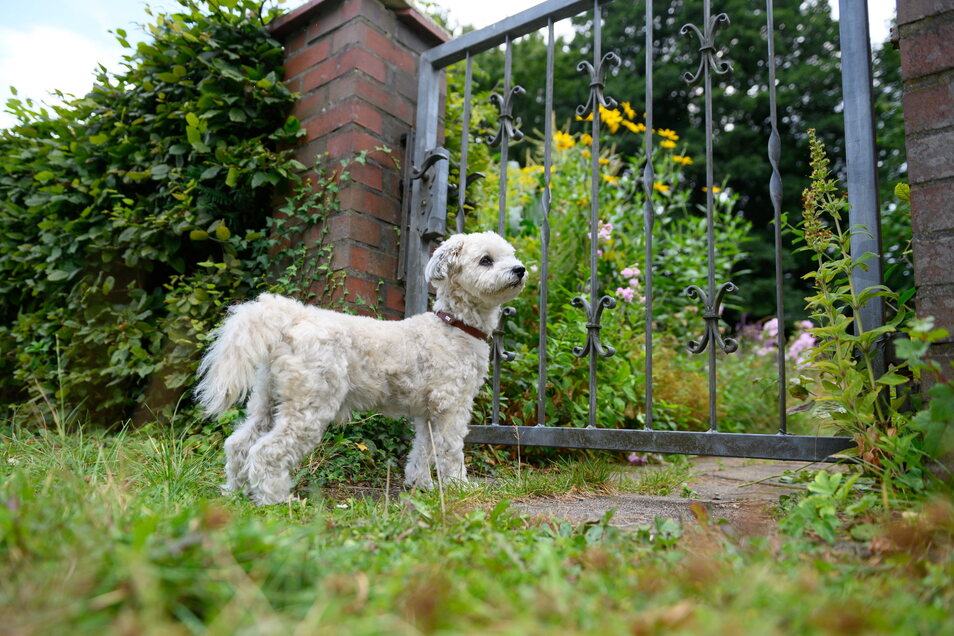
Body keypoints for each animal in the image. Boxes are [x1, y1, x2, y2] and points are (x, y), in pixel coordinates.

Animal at [192, 231, 520, 504]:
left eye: (511, 255)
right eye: (486, 260)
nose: (520, 269)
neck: (455, 326)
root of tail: (292, 319)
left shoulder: (427, 412)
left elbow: (423, 450)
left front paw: (420, 485)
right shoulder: (451, 407)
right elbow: (450, 450)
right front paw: (459, 487)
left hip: (267, 401)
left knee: (239, 444)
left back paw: (235, 491)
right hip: (311, 405)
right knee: (266, 451)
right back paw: (275, 499)